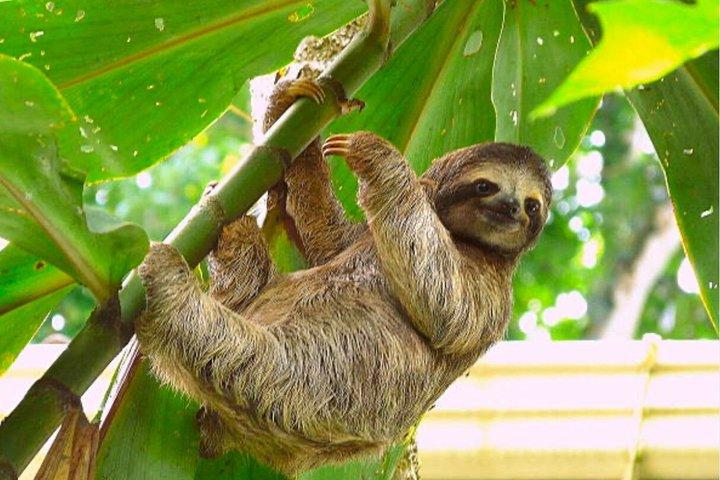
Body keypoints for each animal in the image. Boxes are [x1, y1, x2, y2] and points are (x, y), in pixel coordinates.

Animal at [135, 78, 552, 476]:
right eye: (486, 186)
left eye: (532, 205)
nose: (512, 208)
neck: (462, 238)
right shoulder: (362, 236)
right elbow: (325, 232)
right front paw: (288, 104)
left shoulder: (494, 293)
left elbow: (449, 307)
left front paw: (375, 154)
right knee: (248, 284)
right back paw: (234, 231)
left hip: (295, 387)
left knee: (224, 345)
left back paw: (167, 280)